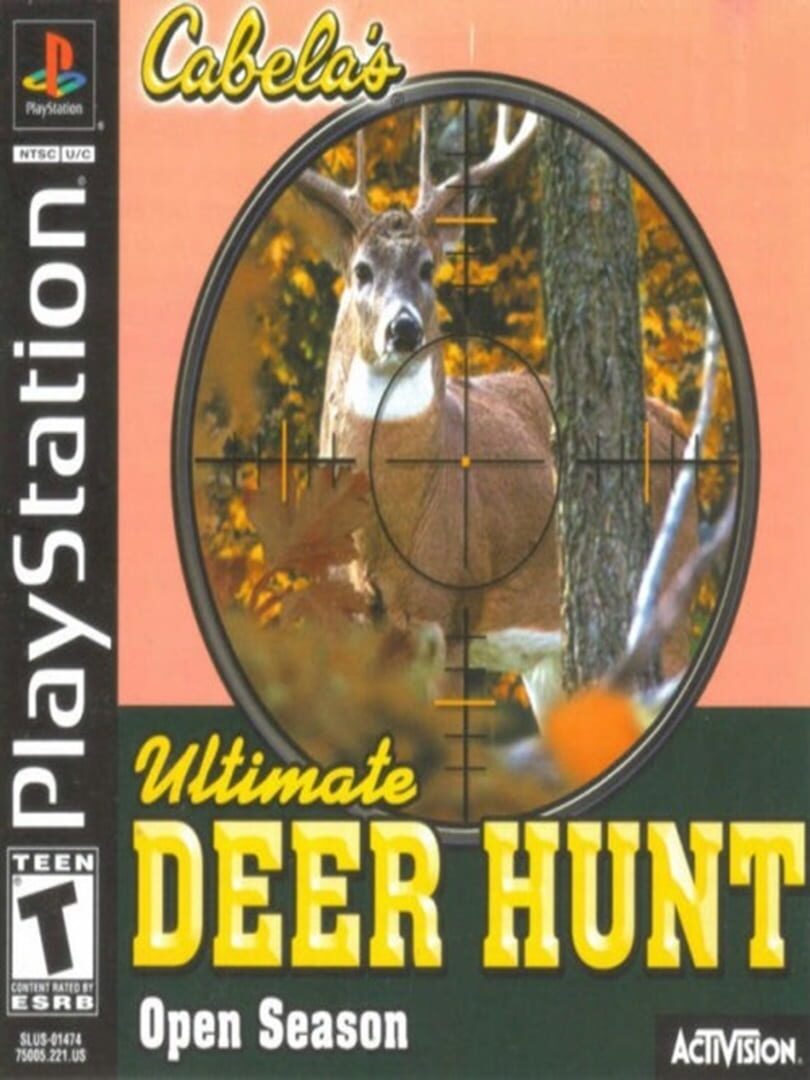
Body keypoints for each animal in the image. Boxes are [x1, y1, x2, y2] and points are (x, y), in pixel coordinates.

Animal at [296, 105, 696, 726]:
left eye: (429, 268)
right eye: (361, 270)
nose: (403, 328)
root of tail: (672, 420)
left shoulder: (451, 614)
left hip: (670, 594)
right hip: (548, 661)